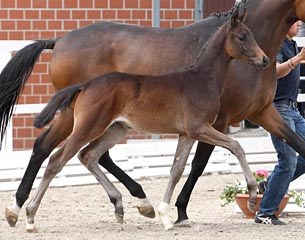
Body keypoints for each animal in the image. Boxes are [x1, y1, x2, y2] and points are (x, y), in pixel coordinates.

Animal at [23, 10, 268, 232]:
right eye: (242, 36)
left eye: (250, 34)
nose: (264, 59)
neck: (201, 79)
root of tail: (86, 85)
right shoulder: (200, 128)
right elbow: (236, 146)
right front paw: (252, 195)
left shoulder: (187, 134)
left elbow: (176, 169)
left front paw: (165, 216)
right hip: (87, 128)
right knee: (56, 160)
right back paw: (30, 217)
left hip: (115, 130)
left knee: (88, 155)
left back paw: (120, 207)